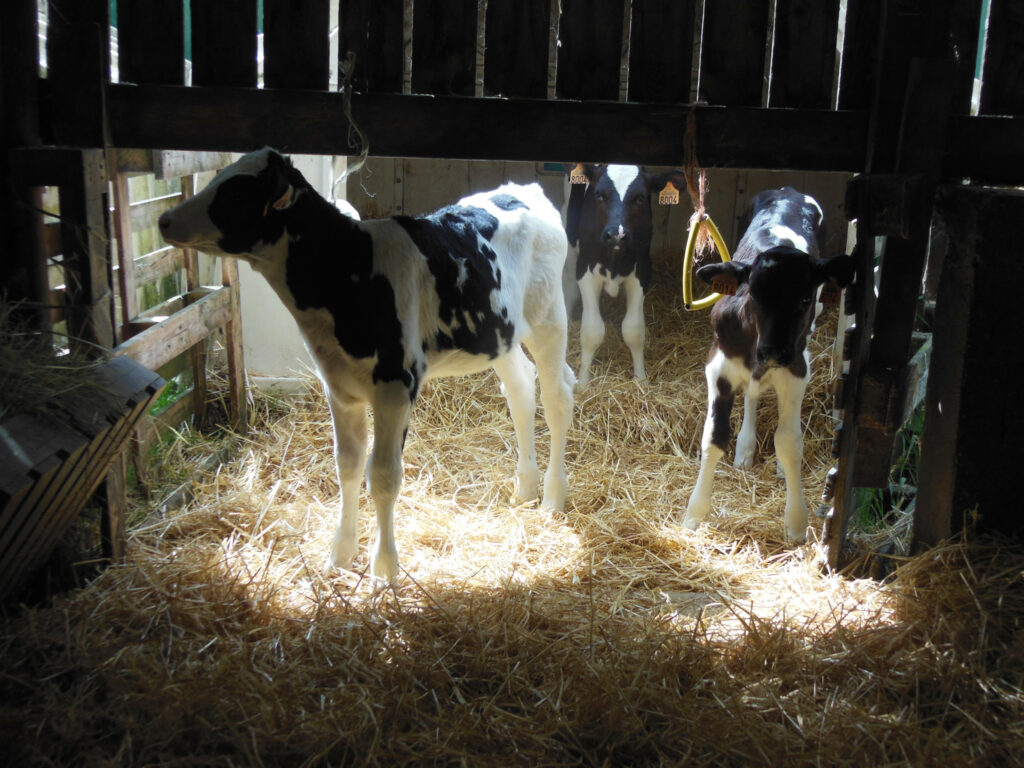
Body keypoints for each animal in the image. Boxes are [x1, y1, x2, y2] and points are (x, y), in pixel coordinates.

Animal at [158, 147, 577, 581]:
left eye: (237, 193)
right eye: (217, 177)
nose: (164, 219)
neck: (347, 272)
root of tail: (525, 191)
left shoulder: (395, 385)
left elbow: (384, 475)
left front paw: (384, 569)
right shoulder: (339, 385)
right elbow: (348, 465)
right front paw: (340, 554)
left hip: (549, 318)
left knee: (557, 396)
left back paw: (552, 497)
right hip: (499, 333)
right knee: (521, 390)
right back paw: (525, 488)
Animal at [565, 164, 684, 387]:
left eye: (640, 197)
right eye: (599, 194)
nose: (616, 235)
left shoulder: (643, 270)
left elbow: (634, 330)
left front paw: (641, 380)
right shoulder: (585, 269)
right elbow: (592, 330)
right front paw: (584, 382)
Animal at [679, 189, 856, 544]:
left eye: (804, 298)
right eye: (754, 294)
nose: (773, 351)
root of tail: (789, 191)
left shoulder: (796, 369)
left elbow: (788, 442)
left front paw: (796, 522)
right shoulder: (719, 366)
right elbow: (713, 436)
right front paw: (694, 513)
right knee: (752, 393)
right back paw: (746, 447)